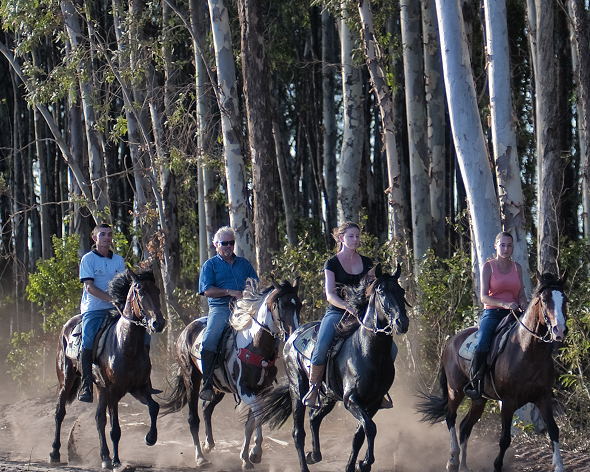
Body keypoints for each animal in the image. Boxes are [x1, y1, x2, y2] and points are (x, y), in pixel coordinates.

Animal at [49, 268, 165, 470]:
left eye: (157, 291)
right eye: (140, 291)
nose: (158, 323)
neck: (125, 344)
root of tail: (67, 326)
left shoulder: (138, 389)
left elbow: (154, 407)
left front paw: (150, 438)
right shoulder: (113, 392)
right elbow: (115, 429)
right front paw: (117, 462)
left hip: (100, 388)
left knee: (98, 419)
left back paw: (104, 457)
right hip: (66, 380)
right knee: (60, 412)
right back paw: (55, 453)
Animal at [161, 278, 300, 470]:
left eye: (298, 304)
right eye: (282, 305)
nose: (293, 333)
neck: (255, 345)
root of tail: (185, 331)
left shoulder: (261, 391)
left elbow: (252, 422)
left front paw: (248, 456)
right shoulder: (245, 390)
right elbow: (257, 417)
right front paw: (255, 453)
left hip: (217, 387)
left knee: (207, 408)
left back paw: (208, 445)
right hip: (191, 379)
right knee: (193, 419)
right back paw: (200, 458)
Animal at [260, 264, 412, 472]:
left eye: (401, 291)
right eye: (381, 291)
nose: (401, 323)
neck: (368, 353)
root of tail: (292, 336)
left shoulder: (373, 402)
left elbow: (360, 434)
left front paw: (353, 465)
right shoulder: (351, 399)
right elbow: (370, 427)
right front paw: (365, 463)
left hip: (328, 396)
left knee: (315, 418)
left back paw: (314, 455)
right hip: (297, 389)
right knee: (298, 432)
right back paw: (305, 464)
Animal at [418, 272, 572, 472]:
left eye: (565, 300)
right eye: (544, 299)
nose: (559, 330)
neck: (527, 351)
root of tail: (451, 342)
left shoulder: (543, 397)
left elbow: (553, 429)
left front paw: (559, 466)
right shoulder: (508, 401)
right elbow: (505, 439)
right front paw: (497, 465)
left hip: (478, 399)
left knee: (465, 426)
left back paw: (464, 465)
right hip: (455, 390)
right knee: (450, 417)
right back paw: (453, 460)